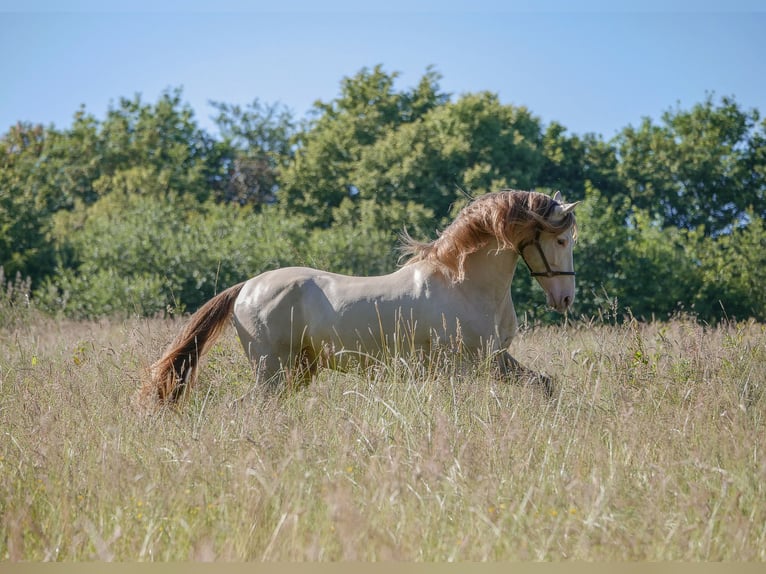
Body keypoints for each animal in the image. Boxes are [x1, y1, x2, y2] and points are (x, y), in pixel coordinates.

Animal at [142, 189, 576, 404]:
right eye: (561, 240)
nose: (565, 299)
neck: (464, 284)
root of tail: (246, 287)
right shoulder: (465, 366)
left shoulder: (496, 359)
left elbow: (544, 385)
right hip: (272, 370)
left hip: (297, 371)